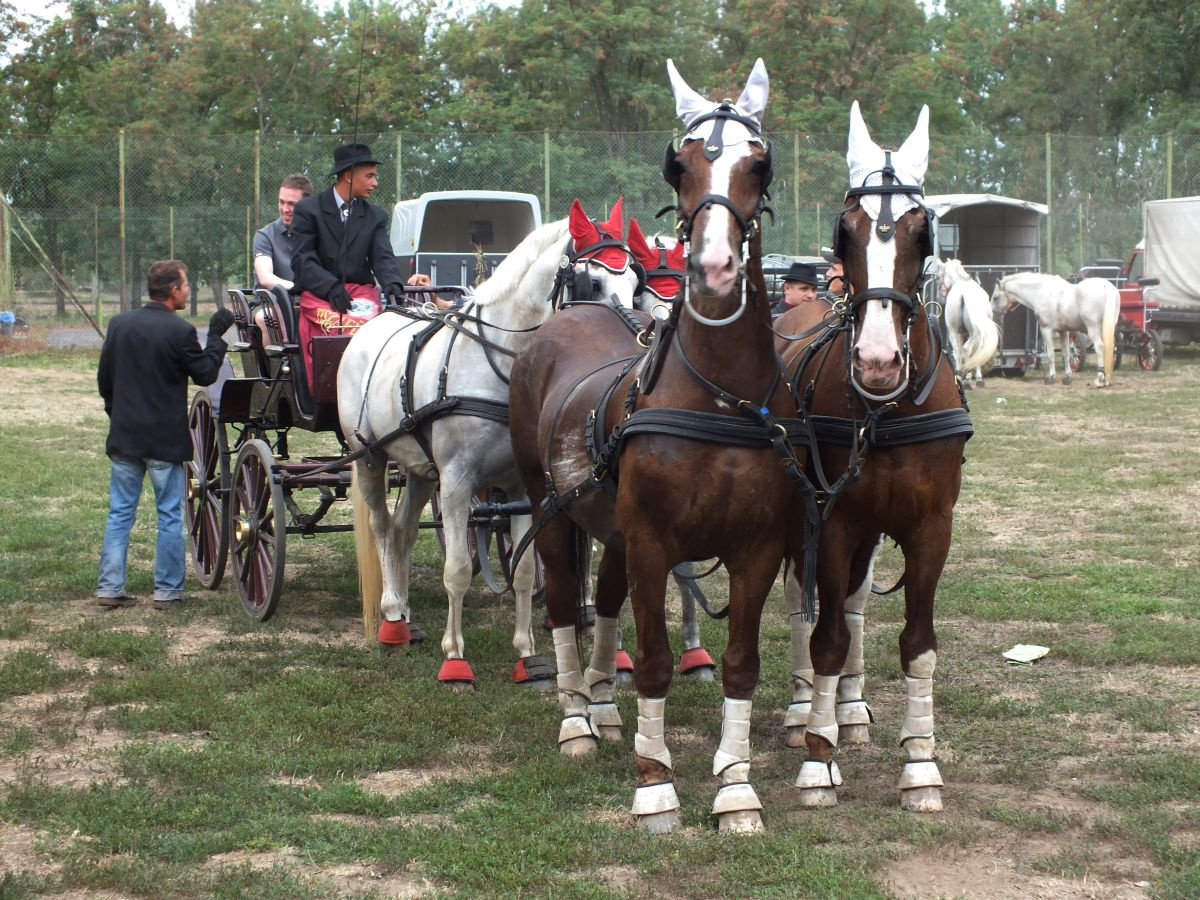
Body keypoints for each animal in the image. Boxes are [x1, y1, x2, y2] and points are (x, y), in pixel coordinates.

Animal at [338, 200, 643, 686]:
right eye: (590, 283)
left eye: (635, 281)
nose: (635, 349)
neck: (499, 365)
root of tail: (373, 323)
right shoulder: (458, 483)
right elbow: (458, 570)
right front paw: (454, 657)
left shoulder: (524, 487)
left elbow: (524, 570)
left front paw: (527, 655)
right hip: (370, 457)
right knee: (383, 528)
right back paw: (390, 616)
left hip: (421, 470)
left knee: (404, 530)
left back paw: (404, 612)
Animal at [506, 60, 806, 840]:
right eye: (681, 164)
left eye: (759, 165)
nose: (716, 266)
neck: (718, 400)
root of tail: (572, 318)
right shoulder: (650, 542)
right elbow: (654, 661)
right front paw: (656, 787)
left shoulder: (759, 548)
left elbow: (739, 664)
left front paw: (736, 790)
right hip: (550, 508)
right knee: (563, 601)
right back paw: (577, 719)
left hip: (608, 525)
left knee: (605, 600)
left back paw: (605, 708)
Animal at [777, 102, 974, 816]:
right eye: (847, 229)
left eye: (923, 231)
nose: (879, 362)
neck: (883, 410)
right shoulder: (833, 519)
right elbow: (827, 637)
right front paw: (817, 760)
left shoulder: (931, 528)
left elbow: (917, 645)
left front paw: (920, 765)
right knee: (809, 606)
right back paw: (807, 711)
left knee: (856, 602)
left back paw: (851, 710)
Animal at [936, 259, 1003, 388]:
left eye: (938, 276)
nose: (939, 297)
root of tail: (963, 295)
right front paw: (978, 378)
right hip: (971, 333)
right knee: (966, 349)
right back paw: (967, 378)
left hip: (954, 331)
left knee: (958, 350)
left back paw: (959, 375)